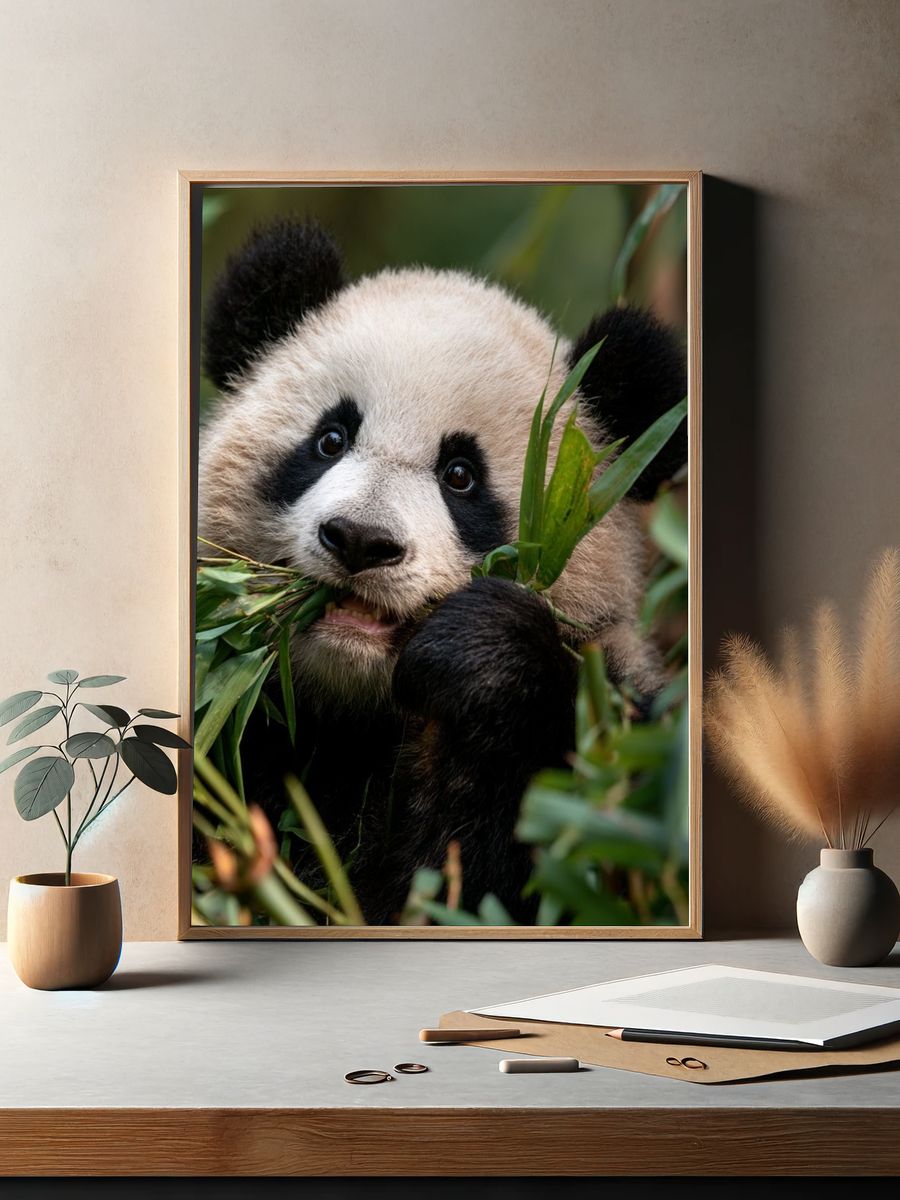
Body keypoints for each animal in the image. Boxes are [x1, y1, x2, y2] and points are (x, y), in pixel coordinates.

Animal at [198, 218, 686, 925]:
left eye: (460, 476)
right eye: (330, 440)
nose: (360, 540)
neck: (357, 711)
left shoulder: (615, 716)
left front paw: (481, 655)